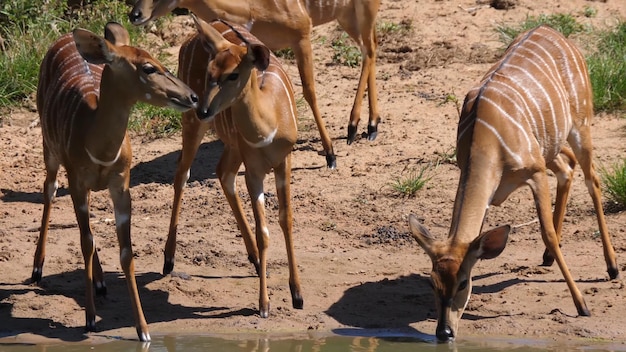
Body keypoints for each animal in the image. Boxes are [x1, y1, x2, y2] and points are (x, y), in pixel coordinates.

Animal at [32, 20, 197, 340]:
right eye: (148, 68)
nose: (192, 96)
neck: (96, 142)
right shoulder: (77, 181)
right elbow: (85, 242)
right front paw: (90, 319)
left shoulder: (120, 186)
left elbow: (125, 252)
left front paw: (143, 330)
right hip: (49, 149)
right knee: (49, 190)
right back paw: (37, 269)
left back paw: (100, 282)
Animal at [129, 0, 382, 169]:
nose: (134, 14)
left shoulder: (302, 35)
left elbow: (310, 91)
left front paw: (330, 155)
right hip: (347, 16)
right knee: (371, 47)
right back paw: (371, 126)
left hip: (362, 11)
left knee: (369, 49)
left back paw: (355, 127)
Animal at [172, 16, 304, 318]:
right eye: (209, 72)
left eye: (233, 75)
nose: (204, 108)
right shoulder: (254, 170)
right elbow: (264, 231)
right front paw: (264, 305)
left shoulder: (283, 162)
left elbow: (286, 220)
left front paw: (297, 294)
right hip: (193, 125)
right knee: (182, 173)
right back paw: (167, 260)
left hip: (230, 146)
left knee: (223, 173)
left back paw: (254, 259)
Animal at [408, 25, 616, 344]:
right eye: (432, 282)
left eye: (463, 283)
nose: (444, 333)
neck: (487, 142)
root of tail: (553, 31)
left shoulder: (535, 172)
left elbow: (547, 234)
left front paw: (582, 305)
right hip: (551, 146)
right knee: (567, 167)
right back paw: (547, 259)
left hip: (580, 126)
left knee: (591, 178)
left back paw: (612, 266)